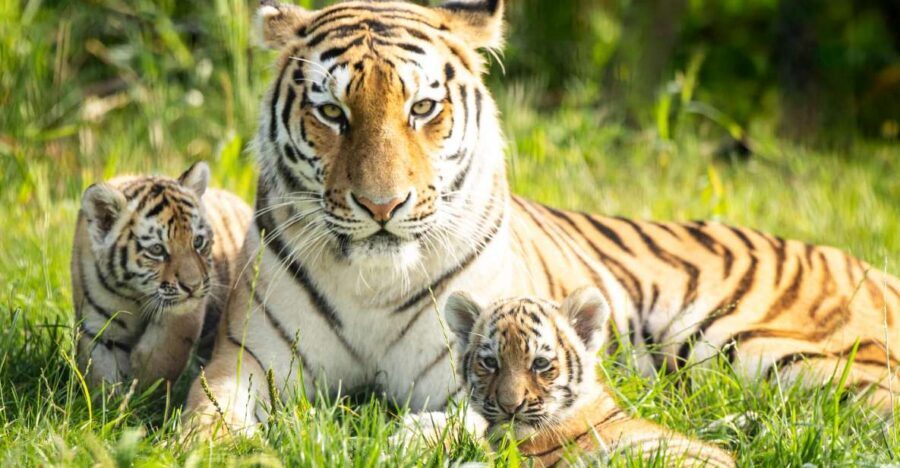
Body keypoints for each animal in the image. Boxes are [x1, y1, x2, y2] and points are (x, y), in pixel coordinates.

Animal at [72, 162, 251, 390]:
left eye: (198, 241)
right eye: (157, 249)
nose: (193, 286)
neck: (132, 293)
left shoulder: (182, 316)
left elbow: (162, 359)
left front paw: (142, 387)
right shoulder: (99, 328)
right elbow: (100, 373)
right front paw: (111, 398)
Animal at [183, 0, 900, 438]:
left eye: (422, 108)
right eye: (332, 113)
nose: (382, 207)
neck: (372, 282)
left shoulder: (474, 376)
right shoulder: (245, 363)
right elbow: (206, 419)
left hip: (775, 350)